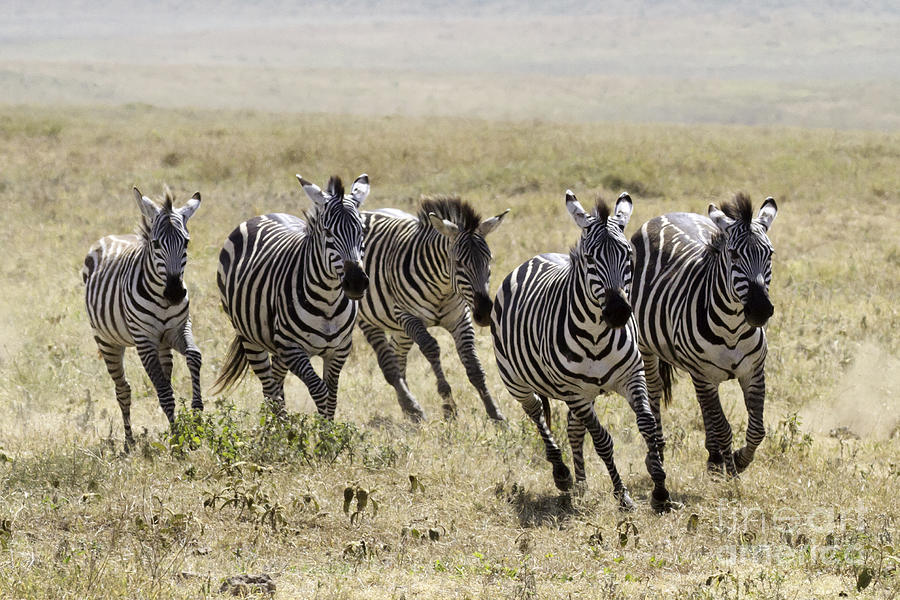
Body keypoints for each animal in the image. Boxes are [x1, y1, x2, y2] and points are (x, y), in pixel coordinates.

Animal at [83, 185, 204, 448]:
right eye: (156, 243)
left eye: (186, 242)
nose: (175, 293)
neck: (161, 297)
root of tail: (110, 237)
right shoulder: (144, 340)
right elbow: (164, 393)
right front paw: (178, 440)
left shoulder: (178, 329)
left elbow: (194, 356)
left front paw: (197, 416)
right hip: (107, 341)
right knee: (123, 390)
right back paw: (129, 443)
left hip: (162, 343)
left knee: (164, 376)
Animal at [214, 173, 370, 418]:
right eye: (328, 232)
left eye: (362, 231)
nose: (356, 283)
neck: (329, 301)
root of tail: (263, 214)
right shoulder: (292, 348)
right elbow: (320, 390)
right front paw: (322, 429)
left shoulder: (339, 350)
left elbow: (332, 397)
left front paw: (329, 428)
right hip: (249, 337)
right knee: (269, 388)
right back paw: (277, 425)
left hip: (276, 345)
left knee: (277, 384)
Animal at [360, 198, 512, 422]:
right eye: (458, 262)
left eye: (489, 259)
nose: (484, 313)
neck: (443, 288)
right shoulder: (408, 315)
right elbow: (431, 348)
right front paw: (449, 407)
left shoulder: (461, 319)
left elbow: (474, 365)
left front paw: (496, 415)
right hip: (368, 318)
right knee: (389, 365)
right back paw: (412, 407)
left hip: (399, 327)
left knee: (398, 355)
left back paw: (409, 412)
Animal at [488, 189, 672, 510]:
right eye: (589, 258)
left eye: (629, 254)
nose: (618, 313)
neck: (597, 335)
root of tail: (534, 259)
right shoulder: (574, 391)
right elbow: (602, 440)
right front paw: (622, 495)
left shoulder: (631, 376)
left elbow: (648, 425)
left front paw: (660, 491)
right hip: (518, 383)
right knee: (537, 413)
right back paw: (562, 473)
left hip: (585, 393)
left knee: (573, 429)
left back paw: (582, 484)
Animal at [628, 195, 776, 476]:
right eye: (734, 254)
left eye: (770, 253)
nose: (761, 309)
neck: (732, 327)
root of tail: (663, 215)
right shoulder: (703, 374)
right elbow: (724, 427)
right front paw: (732, 471)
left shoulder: (752, 371)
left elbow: (757, 429)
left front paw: (738, 460)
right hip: (647, 348)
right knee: (654, 392)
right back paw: (657, 454)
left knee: (703, 405)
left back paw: (713, 456)